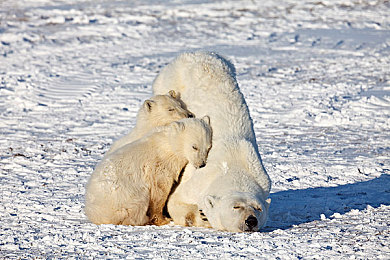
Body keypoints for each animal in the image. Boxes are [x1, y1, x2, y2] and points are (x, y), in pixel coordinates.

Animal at [152, 50, 272, 232]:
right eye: (235, 207)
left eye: (258, 208)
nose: (251, 220)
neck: (234, 164)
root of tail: (196, 53)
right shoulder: (200, 180)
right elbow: (177, 199)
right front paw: (200, 216)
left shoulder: (262, 179)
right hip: (170, 81)